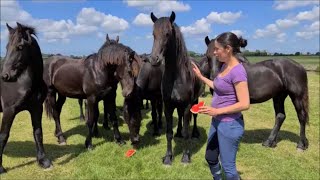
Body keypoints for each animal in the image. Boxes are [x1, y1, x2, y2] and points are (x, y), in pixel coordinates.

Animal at [0, 22, 52, 173]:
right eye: (7, 47)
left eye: (20, 47)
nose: (5, 76)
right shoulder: (9, 111)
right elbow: (3, 136)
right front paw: (0, 167)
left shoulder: (36, 109)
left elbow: (38, 133)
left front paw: (43, 161)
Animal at [149, 11, 204, 165]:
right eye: (153, 34)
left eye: (167, 33)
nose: (154, 59)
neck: (176, 77)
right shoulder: (168, 106)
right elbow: (169, 133)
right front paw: (168, 157)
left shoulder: (187, 106)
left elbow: (186, 133)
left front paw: (185, 157)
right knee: (179, 118)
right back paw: (178, 132)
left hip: (195, 101)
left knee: (194, 118)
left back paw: (195, 133)